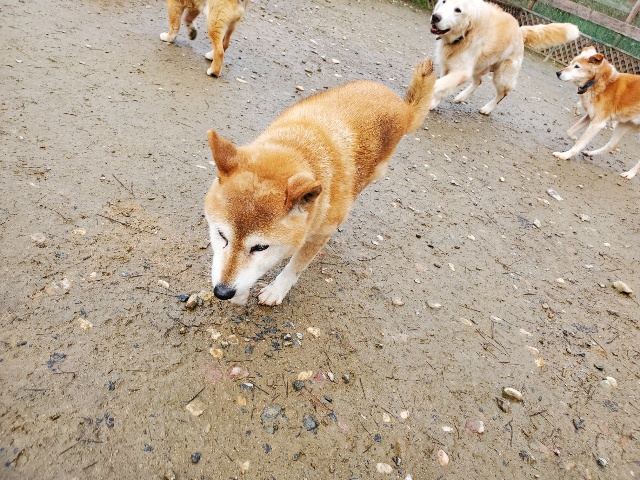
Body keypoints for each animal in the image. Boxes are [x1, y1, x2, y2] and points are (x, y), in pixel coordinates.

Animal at [203, 59, 436, 305]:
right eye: (221, 235)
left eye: (260, 247)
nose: (222, 292)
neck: (295, 148)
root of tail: (402, 106)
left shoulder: (319, 235)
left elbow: (294, 267)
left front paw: (276, 289)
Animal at [429, 0, 579, 114]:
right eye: (444, 1)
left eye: (458, 10)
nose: (435, 17)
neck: (465, 34)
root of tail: (520, 30)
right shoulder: (447, 66)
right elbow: (442, 86)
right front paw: (433, 103)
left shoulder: (461, 72)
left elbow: (439, 85)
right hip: (481, 65)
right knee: (479, 81)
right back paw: (462, 96)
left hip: (502, 76)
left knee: (503, 94)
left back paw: (487, 109)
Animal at [554, 46, 640, 179]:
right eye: (570, 63)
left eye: (577, 66)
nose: (558, 73)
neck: (599, 81)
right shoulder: (590, 116)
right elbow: (570, 131)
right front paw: (574, 138)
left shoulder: (597, 123)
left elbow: (579, 144)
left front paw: (565, 155)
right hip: (623, 125)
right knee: (612, 145)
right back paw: (589, 153)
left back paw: (629, 174)